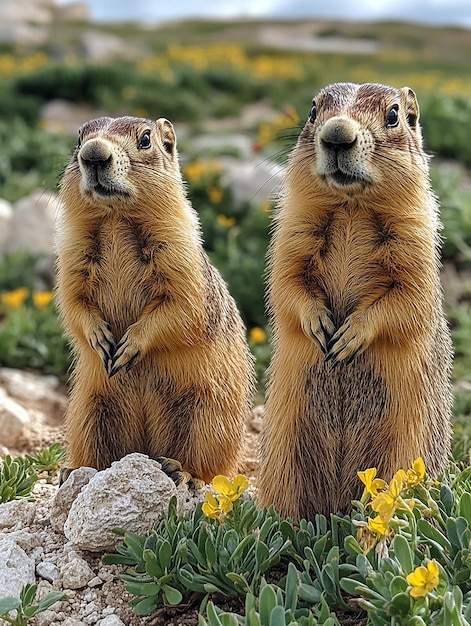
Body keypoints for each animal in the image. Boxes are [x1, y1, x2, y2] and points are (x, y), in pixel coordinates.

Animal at [56, 114, 254, 480]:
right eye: (79, 137)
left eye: (146, 139)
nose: (93, 154)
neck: (115, 220)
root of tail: (145, 446)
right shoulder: (71, 256)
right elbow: (72, 301)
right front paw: (99, 338)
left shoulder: (180, 255)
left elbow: (181, 305)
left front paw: (129, 346)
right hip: (87, 410)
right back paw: (73, 470)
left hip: (209, 412)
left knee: (207, 462)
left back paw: (179, 469)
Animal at [258, 80, 454, 516]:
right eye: (313, 110)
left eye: (394, 114)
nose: (336, 134)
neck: (352, 208)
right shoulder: (292, 229)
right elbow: (287, 280)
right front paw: (318, 323)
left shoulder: (416, 239)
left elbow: (408, 294)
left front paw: (350, 335)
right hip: (281, 450)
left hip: (407, 451)